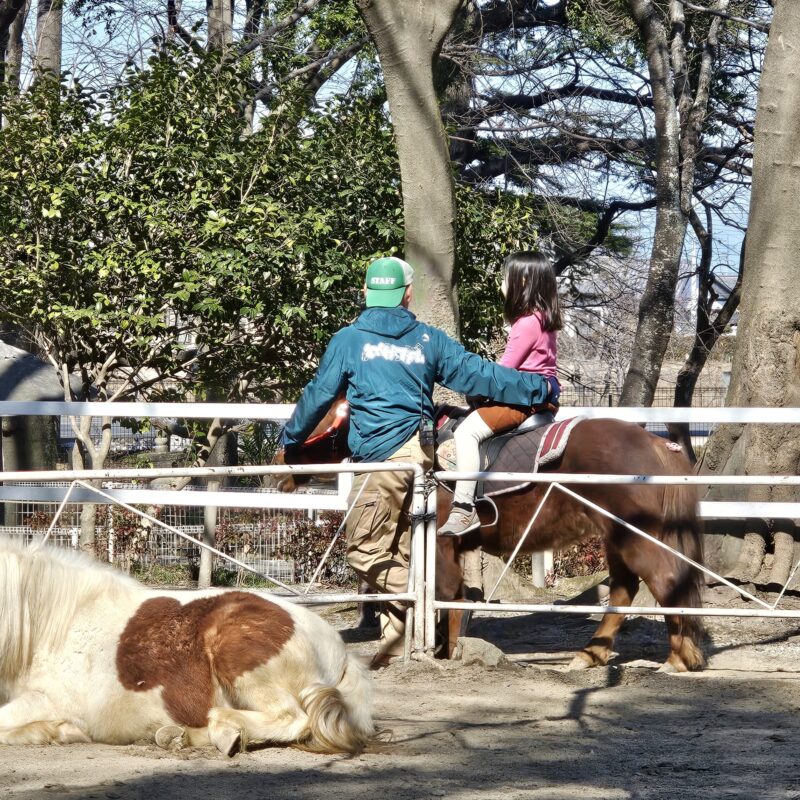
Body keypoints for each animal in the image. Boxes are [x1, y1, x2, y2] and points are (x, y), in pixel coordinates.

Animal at [0, 540, 376, 752]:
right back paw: (182, 737)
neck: (56, 623)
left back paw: (223, 728)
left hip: (238, 656)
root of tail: (338, 648)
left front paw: (55, 731)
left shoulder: (49, 700)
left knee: (292, 718)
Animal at [278, 406, 704, 676]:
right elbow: (456, 597)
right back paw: (590, 655)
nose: (280, 464)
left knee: (665, 582)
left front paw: (445, 652)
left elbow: (447, 594)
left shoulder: (442, 545)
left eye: (317, 422)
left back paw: (678, 658)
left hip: (636, 537)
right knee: (624, 589)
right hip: (617, 539)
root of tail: (655, 444)